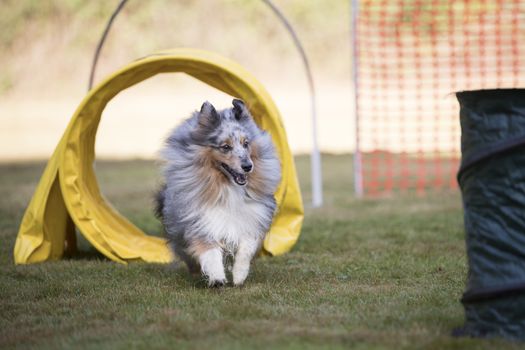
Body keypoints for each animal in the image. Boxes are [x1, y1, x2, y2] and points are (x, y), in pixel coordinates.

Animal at [154, 99, 280, 288]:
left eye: (246, 143)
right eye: (225, 147)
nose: (248, 166)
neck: (227, 186)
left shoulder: (252, 217)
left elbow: (246, 248)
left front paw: (239, 276)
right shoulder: (201, 220)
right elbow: (209, 251)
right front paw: (217, 278)